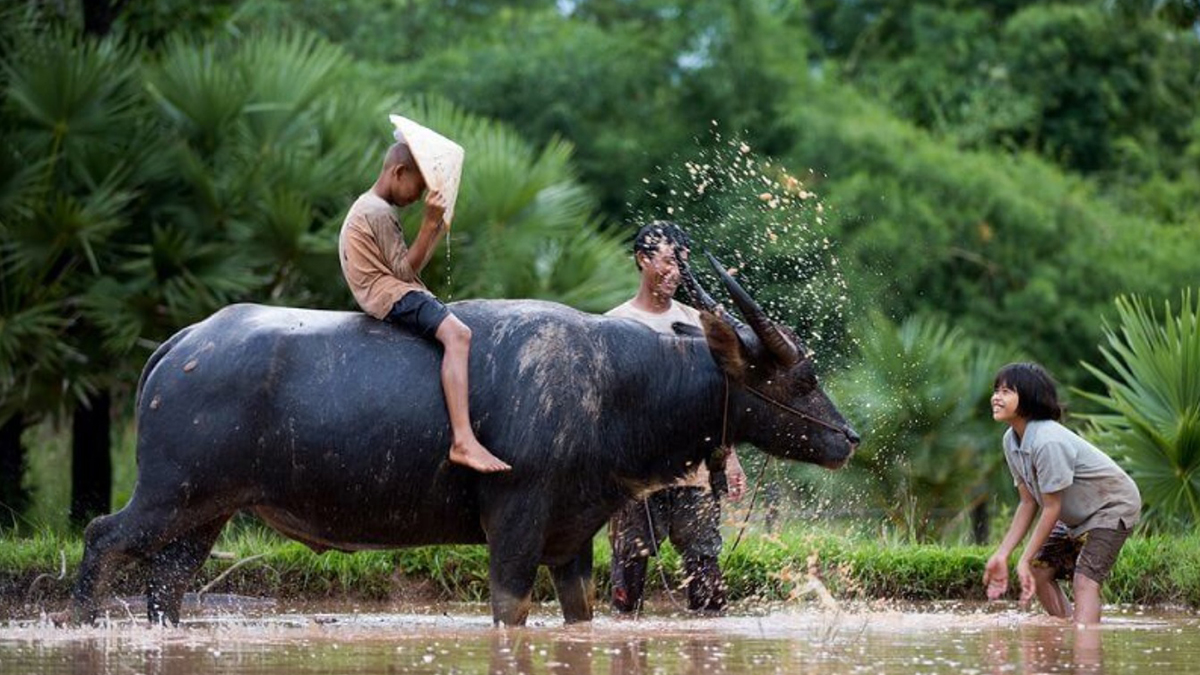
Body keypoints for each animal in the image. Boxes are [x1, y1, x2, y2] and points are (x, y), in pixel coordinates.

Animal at [68, 261, 854, 624]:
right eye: (803, 376)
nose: (847, 437)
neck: (615, 383)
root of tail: (181, 344)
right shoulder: (514, 521)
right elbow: (510, 611)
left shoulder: (573, 536)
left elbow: (582, 614)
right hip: (168, 493)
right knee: (102, 537)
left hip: (206, 510)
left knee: (167, 583)